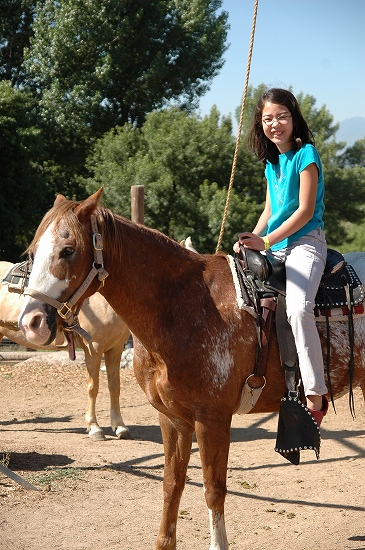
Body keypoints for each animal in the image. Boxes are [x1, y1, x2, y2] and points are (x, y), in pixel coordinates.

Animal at [0, 260, 131, 442]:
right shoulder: (94, 348)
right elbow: (93, 387)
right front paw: (94, 428)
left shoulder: (115, 348)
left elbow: (114, 386)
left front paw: (119, 426)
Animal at [18, 189, 364, 548]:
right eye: (33, 252)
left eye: (68, 250)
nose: (31, 323)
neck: (184, 305)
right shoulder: (173, 420)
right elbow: (173, 484)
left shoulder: (212, 421)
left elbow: (213, 490)